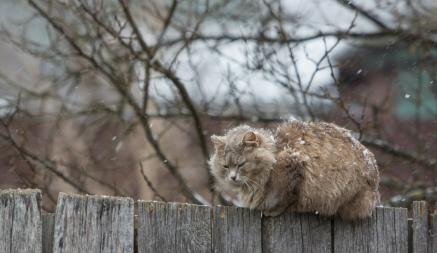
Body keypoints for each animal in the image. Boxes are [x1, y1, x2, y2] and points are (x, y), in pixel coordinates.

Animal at [208, 120, 378, 219]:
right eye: (226, 166)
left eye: (241, 164)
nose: (232, 177)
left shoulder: (294, 166)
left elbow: (286, 198)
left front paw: (273, 211)